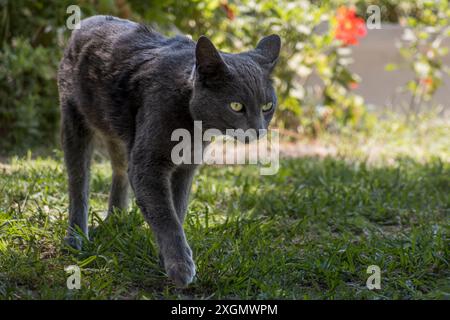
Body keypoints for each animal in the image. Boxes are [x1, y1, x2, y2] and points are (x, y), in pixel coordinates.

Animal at [58, 15, 280, 286]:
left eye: (267, 106)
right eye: (236, 106)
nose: (259, 130)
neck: (194, 127)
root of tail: (90, 19)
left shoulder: (186, 167)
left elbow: (178, 208)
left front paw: (166, 259)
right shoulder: (148, 164)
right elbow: (165, 215)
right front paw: (180, 266)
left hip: (120, 130)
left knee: (120, 168)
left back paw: (117, 219)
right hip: (75, 118)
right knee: (79, 181)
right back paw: (75, 237)